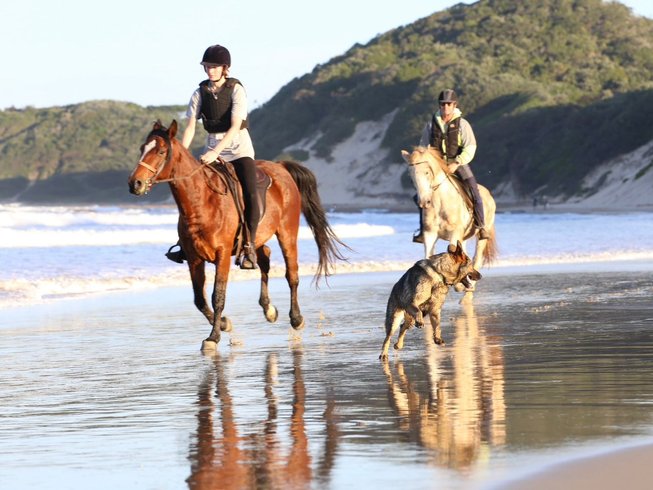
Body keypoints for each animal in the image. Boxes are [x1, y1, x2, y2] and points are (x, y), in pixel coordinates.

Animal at [128, 120, 347, 350]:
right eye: (142, 149)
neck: (201, 201)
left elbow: (218, 296)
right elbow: (199, 299)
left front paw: (213, 337)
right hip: (256, 239)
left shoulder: (222, 254)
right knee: (264, 259)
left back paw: (296, 318)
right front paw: (224, 324)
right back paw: (268, 309)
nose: (135, 183)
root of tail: (280, 167)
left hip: (287, 232)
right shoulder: (194, 258)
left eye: (161, 151)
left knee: (291, 274)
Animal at [402, 145, 497, 302]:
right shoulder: (429, 234)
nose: (424, 202)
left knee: (476, 259)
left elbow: (452, 249)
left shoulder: (454, 232)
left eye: (427, 172)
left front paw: (459, 285)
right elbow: (428, 255)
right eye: (411, 176)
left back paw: (467, 293)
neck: (440, 201)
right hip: (463, 238)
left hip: (482, 235)